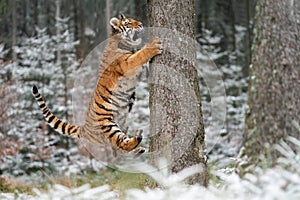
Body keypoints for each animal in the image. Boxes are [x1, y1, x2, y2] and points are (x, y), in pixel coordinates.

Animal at [31, 14, 163, 155]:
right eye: (128, 23)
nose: (141, 24)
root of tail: (84, 128)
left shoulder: (140, 71)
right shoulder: (127, 64)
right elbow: (140, 55)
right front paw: (154, 44)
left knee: (118, 147)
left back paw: (138, 149)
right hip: (107, 123)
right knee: (120, 143)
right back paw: (136, 141)